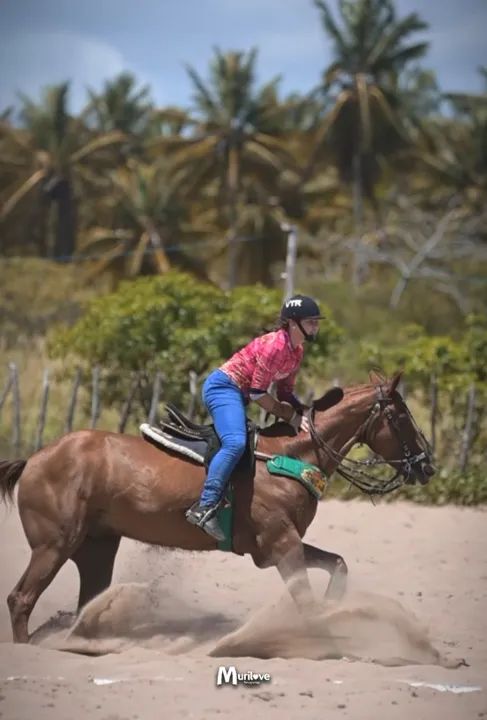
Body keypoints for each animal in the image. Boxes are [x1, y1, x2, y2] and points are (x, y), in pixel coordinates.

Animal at [0, 370, 434, 643]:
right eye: (400, 416)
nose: (427, 465)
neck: (292, 454)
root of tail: (34, 459)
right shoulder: (281, 543)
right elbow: (306, 601)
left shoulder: (279, 543)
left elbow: (337, 565)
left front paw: (334, 608)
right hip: (54, 546)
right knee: (21, 599)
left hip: (97, 547)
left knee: (85, 601)